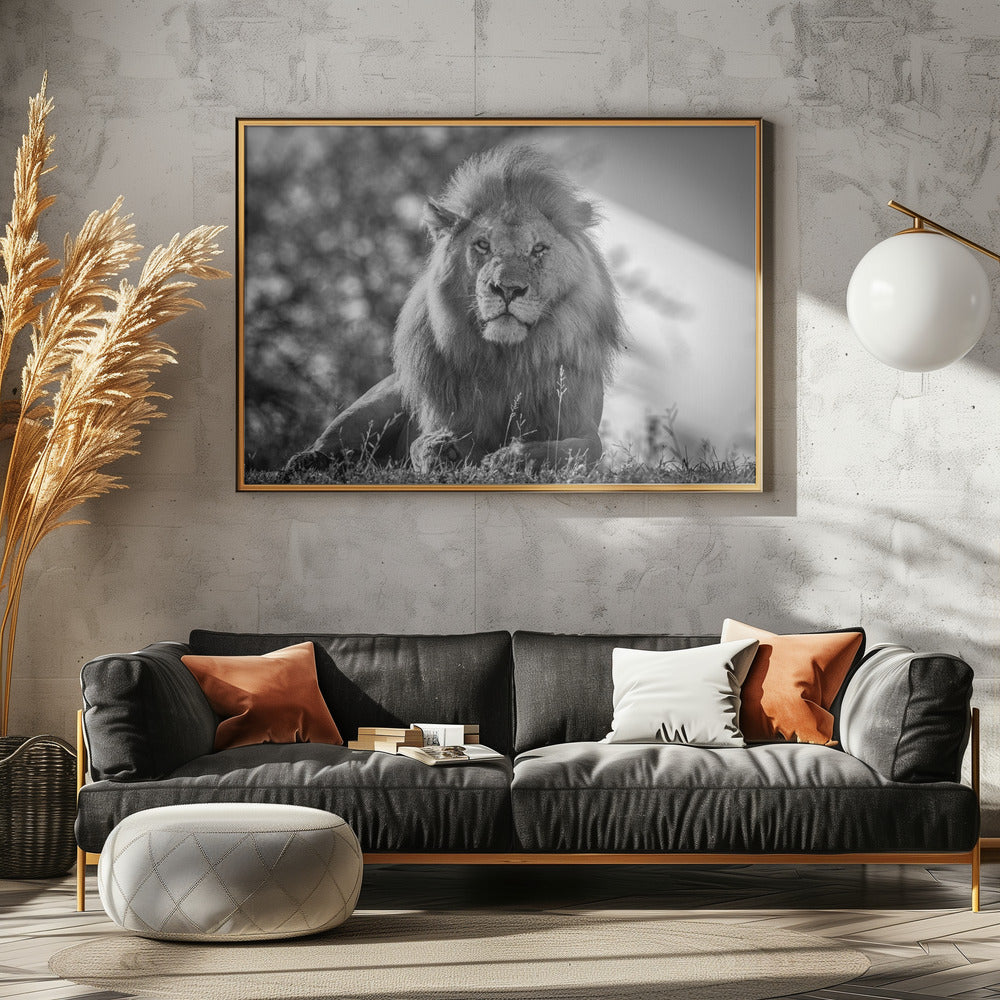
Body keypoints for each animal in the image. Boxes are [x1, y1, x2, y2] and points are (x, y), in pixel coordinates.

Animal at [285, 144, 624, 477]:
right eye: (483, 245)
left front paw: (510, 458)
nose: (507, 289)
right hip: (378, 401)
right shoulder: (442, 418)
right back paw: (305, 461)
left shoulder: (581, 424)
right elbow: (421, 443)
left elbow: (575, 451)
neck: (508, 359)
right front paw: (441, 451)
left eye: (538, 249)